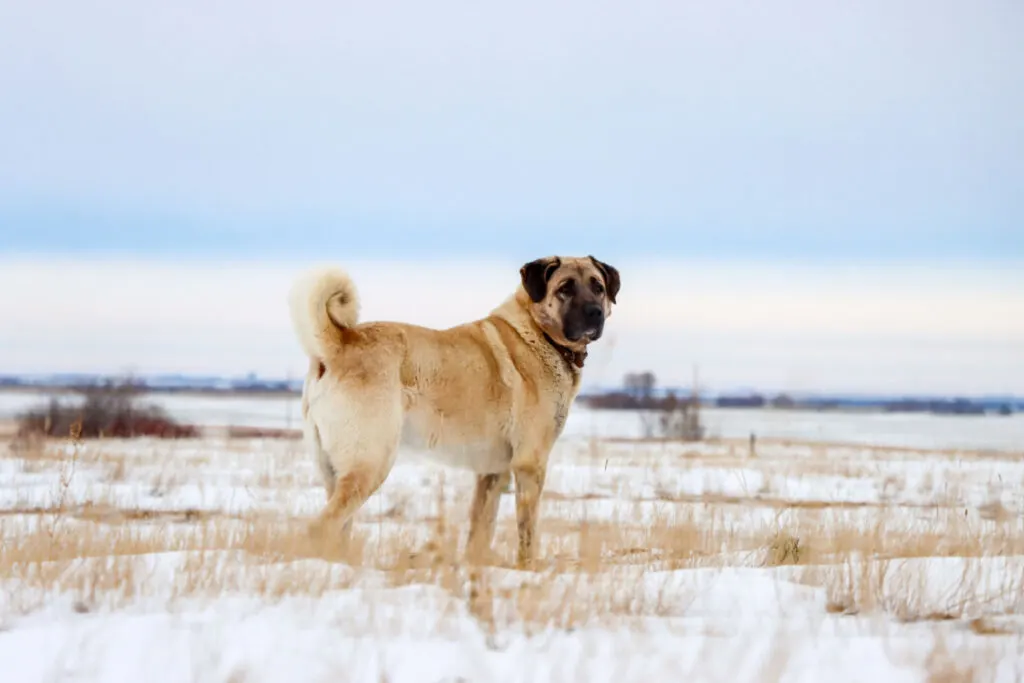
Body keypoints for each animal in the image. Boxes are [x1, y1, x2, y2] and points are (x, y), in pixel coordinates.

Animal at [292, 254, 618, 565]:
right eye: (565, 288)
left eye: (598, 287)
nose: (595, 313)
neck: (539, 332)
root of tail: (340, 343)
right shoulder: (530, 464)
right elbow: (527, 531)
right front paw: (529, 569)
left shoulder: (492, 472)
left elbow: (481, 528)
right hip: (370, 464)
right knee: (320, 527)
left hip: (335, 473)